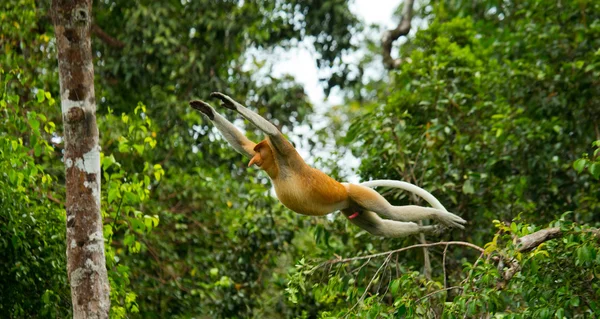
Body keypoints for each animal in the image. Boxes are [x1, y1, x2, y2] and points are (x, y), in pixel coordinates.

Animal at [190, 92, 466, 238]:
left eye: (260, 151)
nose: (254, 159)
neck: (279, 169)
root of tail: (345, 186)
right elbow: (241, 144)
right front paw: (207, 109)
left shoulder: (287, 156)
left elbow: (274, 132)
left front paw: (229, 102)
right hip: (351, 206)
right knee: (380, 228)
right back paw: (427, 228)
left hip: (358, 194)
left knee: (391, 212)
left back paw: (440, 217)